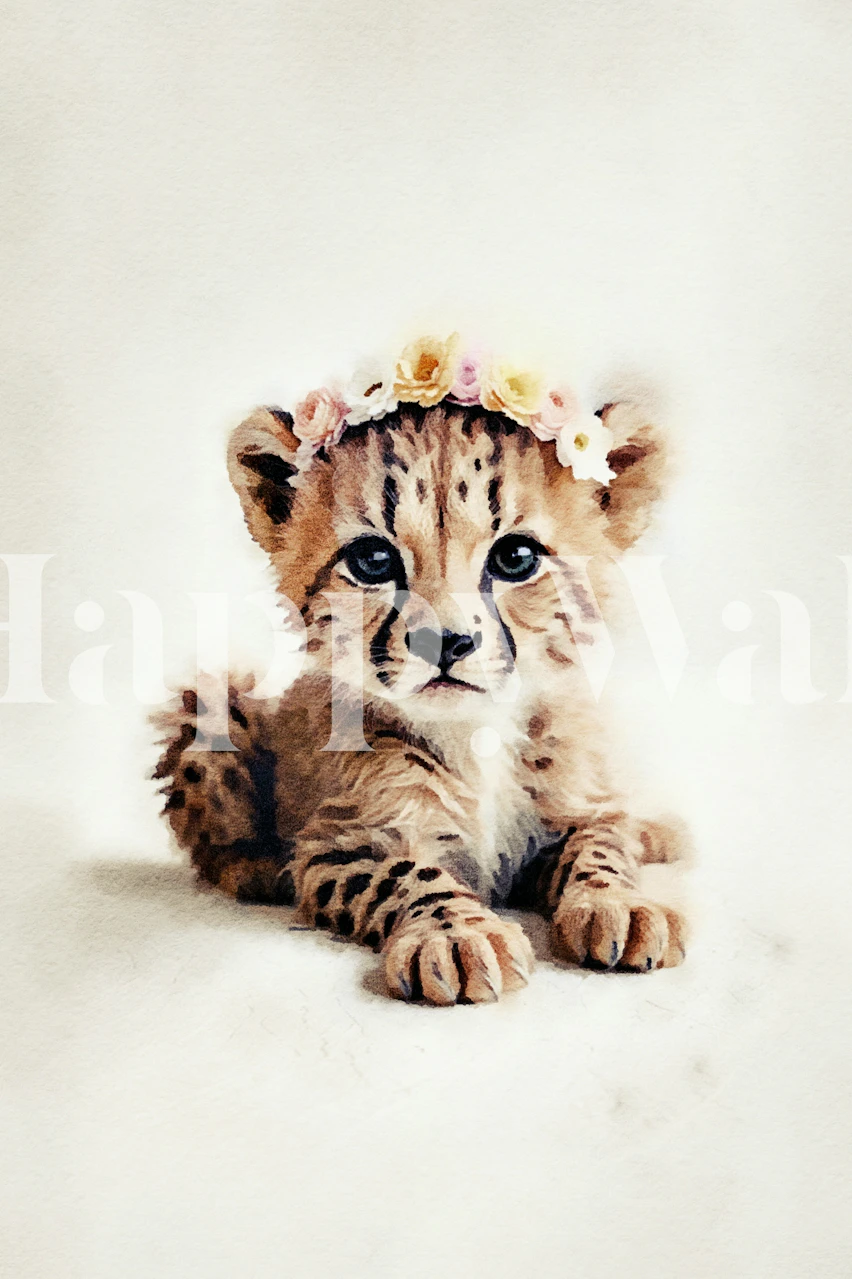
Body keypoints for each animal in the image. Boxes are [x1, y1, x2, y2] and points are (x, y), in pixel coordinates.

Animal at [153, 396, 689, 1004]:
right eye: (373, 561)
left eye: (516, 557)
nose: (446, 642)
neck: (479, 733)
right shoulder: (337, 845)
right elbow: (408, 876)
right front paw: (456, 935)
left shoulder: (577, 808)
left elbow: (601, 845)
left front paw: (618, 903)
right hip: (213, 707)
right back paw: (259, 867)